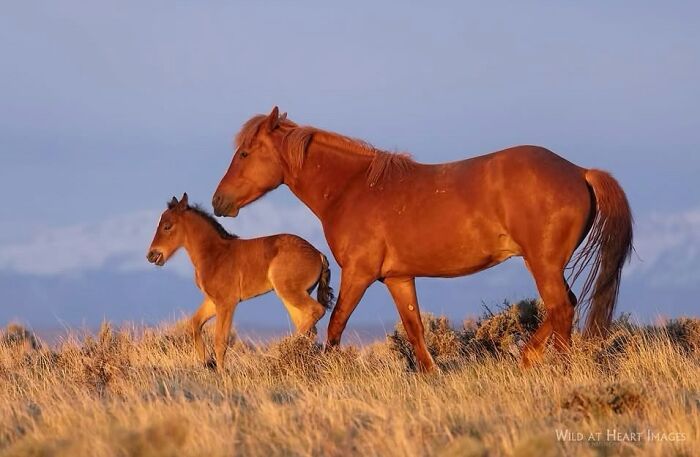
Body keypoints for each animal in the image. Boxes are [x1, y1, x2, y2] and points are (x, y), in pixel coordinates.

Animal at [147, 193, 334, 369]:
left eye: (167, 226)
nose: (152, 255)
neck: (215, 253)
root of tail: (318, 254)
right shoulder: (212, 301)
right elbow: (194, 324)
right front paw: (206, 363)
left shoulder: (227, 303)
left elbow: (220, 340)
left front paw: (221, 373)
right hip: (291, 296)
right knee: (309, 325)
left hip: (290, 292)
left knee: (317, 312)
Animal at [212, 107, 633, 371]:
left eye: (245, 153)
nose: (219, 201)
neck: (353, 189)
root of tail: (579, 171)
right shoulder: (398, 278)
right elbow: (415, 330)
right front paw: (431, 374)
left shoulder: (359, 274)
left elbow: (335, 325)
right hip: (544, 264)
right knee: (564, 306)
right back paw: (527, 360)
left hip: (542, 263)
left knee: (561, 308)